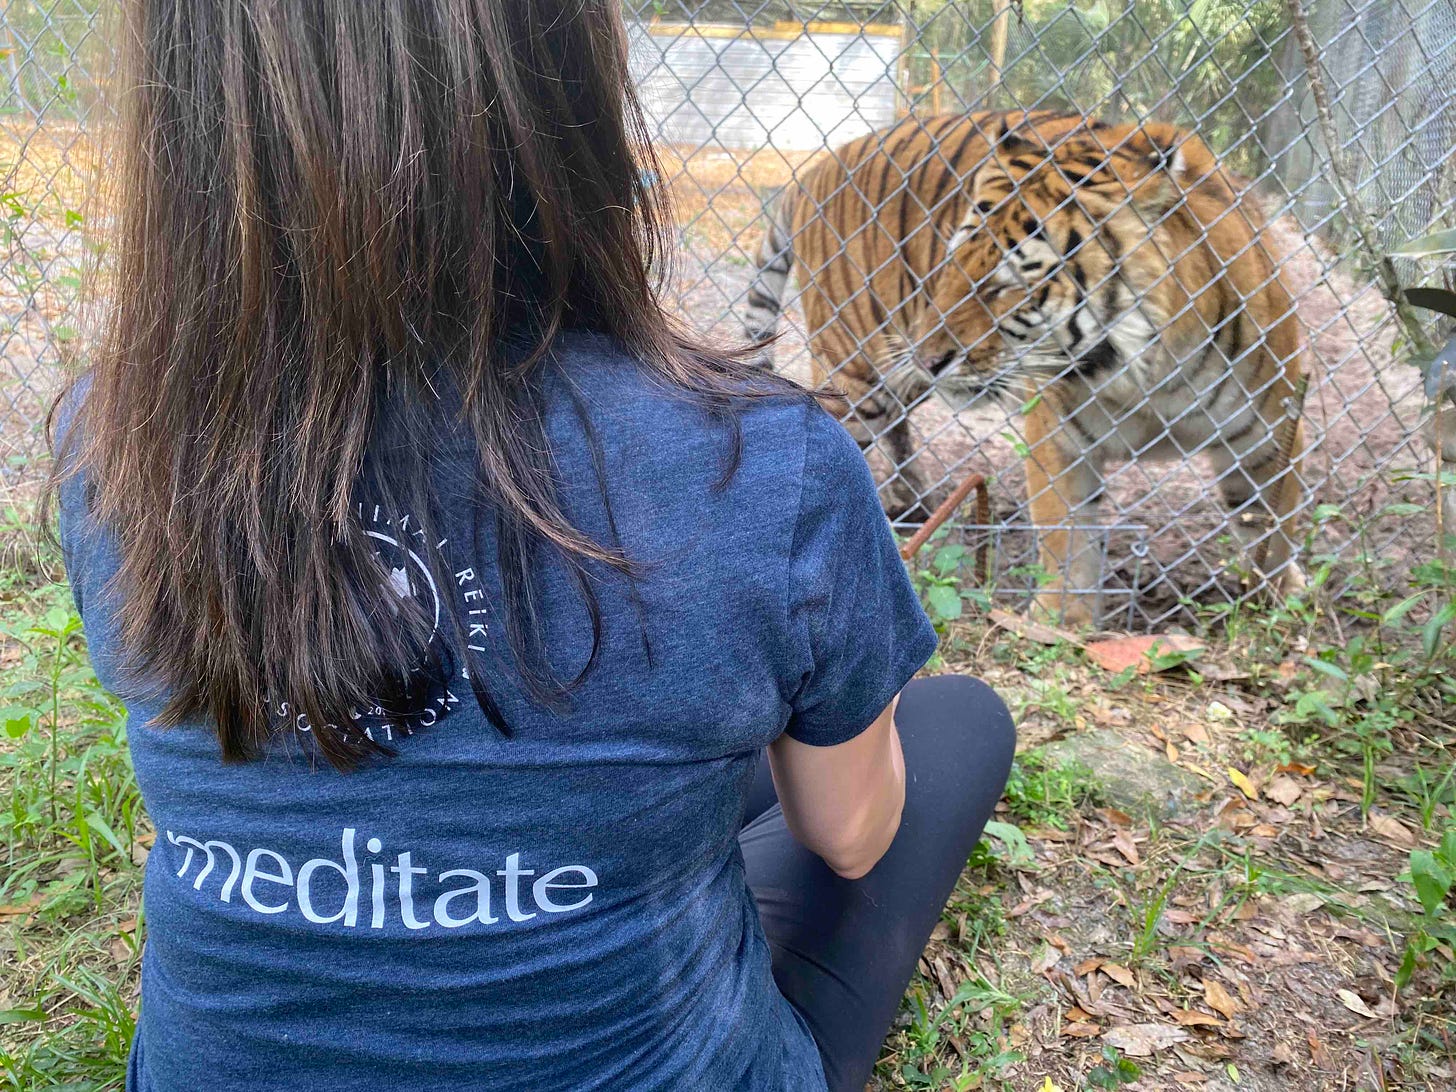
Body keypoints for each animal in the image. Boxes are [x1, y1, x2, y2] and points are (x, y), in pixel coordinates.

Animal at [751, 112, 1310, 631]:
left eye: (1008, 284)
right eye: (952, 263)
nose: (931, 357)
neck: (1151, 376)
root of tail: (818, 165)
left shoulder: (1269, 438)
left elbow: (1274, 530)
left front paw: (1278, 610)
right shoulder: (1059, 435)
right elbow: (1066, 541)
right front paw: (1059, 623)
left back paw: (912, 501)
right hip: (857, 369)